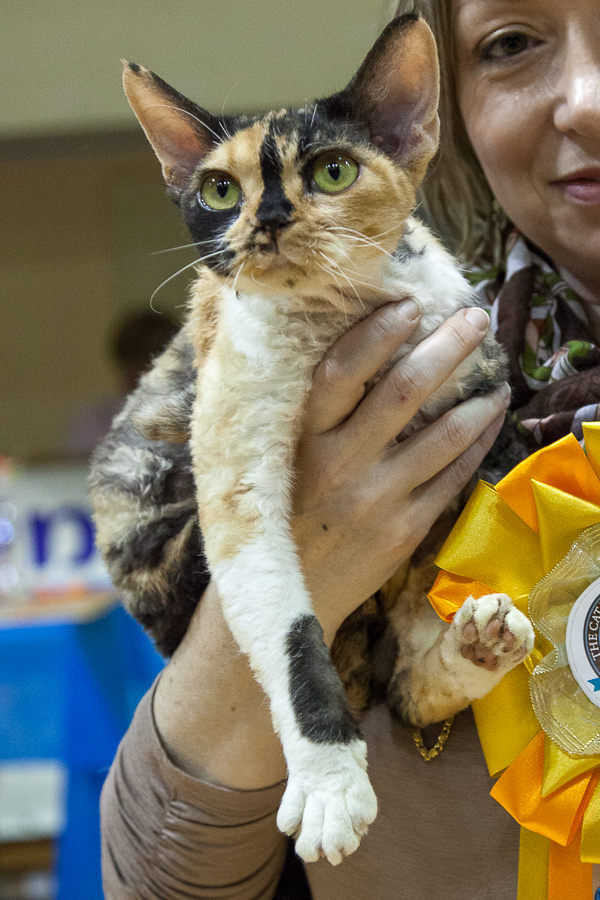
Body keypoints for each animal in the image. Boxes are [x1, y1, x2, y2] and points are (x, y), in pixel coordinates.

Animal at [90, 15, 536, 864]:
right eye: (219, 189)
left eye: (333, 172)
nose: (267, 219)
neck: (343, 314)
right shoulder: (235, 466)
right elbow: (292, 633)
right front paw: (330, 784)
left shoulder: (484, 387)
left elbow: (490, 528)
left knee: (405, 690)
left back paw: (478, 645)